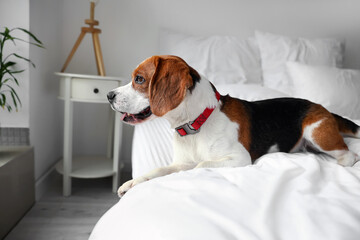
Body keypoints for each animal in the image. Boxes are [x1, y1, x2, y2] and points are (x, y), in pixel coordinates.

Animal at [108, 54, 360, 197]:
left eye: (139, 79)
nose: (109, 95)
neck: (197, 123)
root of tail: (322, 107)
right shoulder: (179, 162)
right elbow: (158, 170)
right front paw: (132, 182)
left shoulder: (239, 158)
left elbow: (201, 165)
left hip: (317, 132)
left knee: (349, 154)